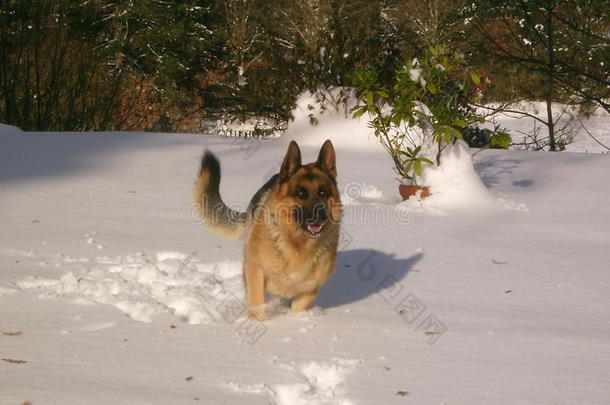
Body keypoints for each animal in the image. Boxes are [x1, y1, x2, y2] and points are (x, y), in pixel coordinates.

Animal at [192, 140, 340, 318]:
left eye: (323, 192)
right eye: (300, 193)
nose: (321, 216)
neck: (297, 243)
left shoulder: (309, 289)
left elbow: (297, 307)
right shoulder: (255, 270)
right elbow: (257, 305)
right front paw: (258, 320)